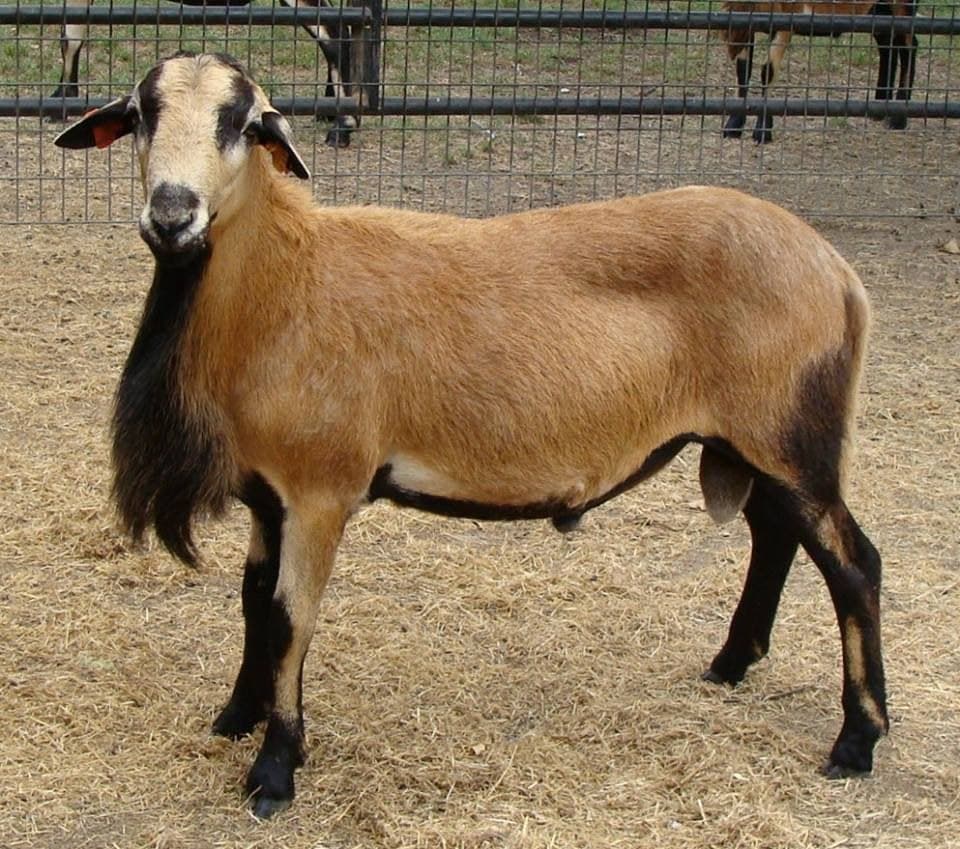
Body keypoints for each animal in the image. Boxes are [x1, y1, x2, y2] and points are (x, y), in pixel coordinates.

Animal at [54, 51, 889, 819]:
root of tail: (838, 271)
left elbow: (293, 617)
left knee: (854, 565)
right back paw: (732, 662)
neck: (286, 281)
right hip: (755, 443)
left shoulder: (322, 489)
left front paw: (275, 770)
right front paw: (236, 714)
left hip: (790, 435)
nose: (172, 216)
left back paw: (857, 740)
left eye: (244, 122)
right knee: (775, 537)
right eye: (141, 113)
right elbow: (255, 601)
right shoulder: (271, 493)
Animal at [721, 0, 918, 143]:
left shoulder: (785, 20)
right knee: (887, 42)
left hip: (901, 5)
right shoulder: (743, 19)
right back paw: (880, 109)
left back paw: (898, 120)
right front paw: (733, 127)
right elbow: (743, 70)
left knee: (909, 45)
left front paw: (762, 132)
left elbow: (767, 72)